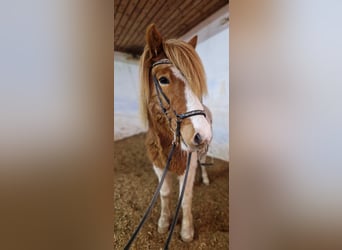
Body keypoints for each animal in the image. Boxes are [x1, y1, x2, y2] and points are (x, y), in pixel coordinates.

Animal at [138, 23, 211, 242]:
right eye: (163, 79)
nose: (202, 134)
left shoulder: (187, 166)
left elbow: (184, 199)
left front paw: (186, 231)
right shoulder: (158, 165)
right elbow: (165, 194)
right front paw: (164, 222)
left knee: (203, 163)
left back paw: (205, 179)